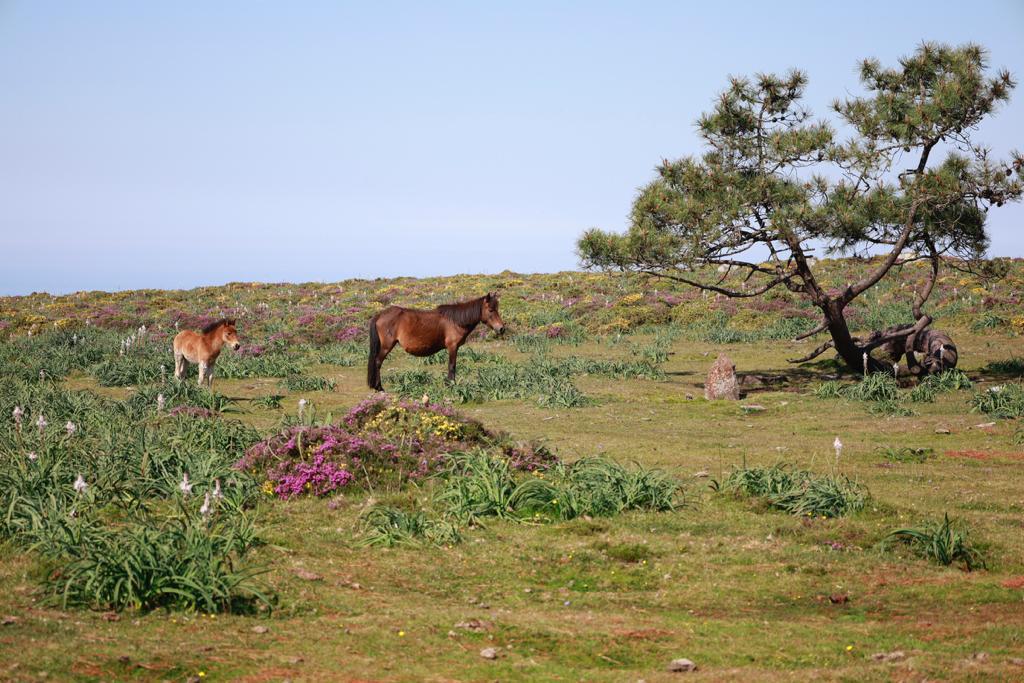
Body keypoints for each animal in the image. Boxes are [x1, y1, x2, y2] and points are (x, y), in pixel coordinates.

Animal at [372, 292, 507, 389]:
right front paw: (451, 385)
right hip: (386, 346)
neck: (456, 321)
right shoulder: (452, 347)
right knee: (378, 362)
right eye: (491, 310)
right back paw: (379, 387)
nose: (501, 328)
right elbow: (452, 366)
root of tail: (380, 315)